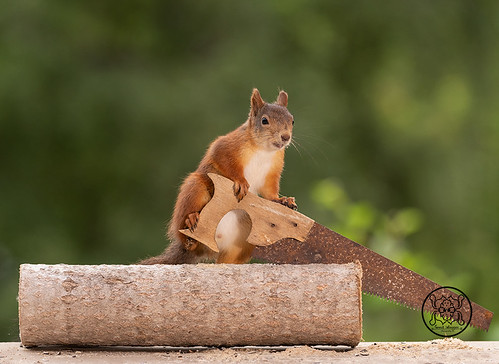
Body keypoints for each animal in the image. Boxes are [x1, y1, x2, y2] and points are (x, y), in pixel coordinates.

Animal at [140, 88, 296, 264]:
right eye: (264, 121)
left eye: (292, 121)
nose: (285, 137)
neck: (264, 150)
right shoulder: (227, 146)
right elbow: (225, 161)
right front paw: (241, 182)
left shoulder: (273, 170)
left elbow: (269, 192)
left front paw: (283, 200)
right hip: (195, 188)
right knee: (185, 235)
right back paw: (190, 223)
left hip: (243, 240)